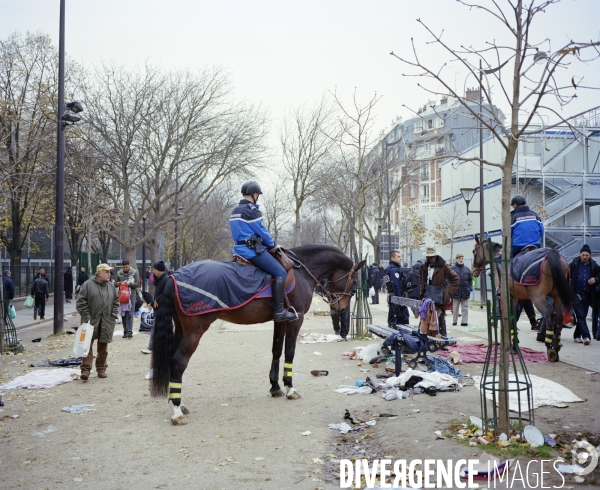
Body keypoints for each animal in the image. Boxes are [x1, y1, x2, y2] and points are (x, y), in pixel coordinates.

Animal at [150, 245, 366, 424]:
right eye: (355, 279)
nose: (341, 307)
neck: (301, 271)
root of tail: (173, 276)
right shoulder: (296, 319)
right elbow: (290, 352)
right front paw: (290, 388)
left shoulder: (281, 319)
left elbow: (277, 350)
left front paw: (275, 386)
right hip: (194, 331)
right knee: (178, 361)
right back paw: (177, 411)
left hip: (181, 328)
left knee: (172, 359)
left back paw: (178, 403)